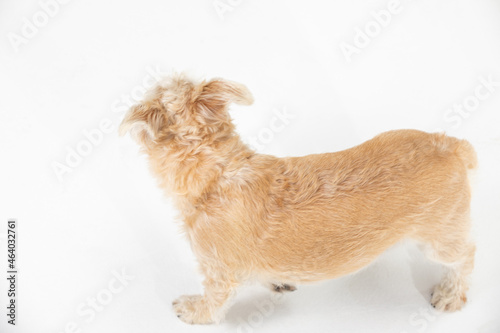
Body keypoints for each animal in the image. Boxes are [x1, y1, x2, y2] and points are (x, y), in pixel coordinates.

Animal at [119, 74, 478, 322]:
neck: (218, 172)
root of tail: (452, 145)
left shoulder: (218, 270)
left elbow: (214, 302)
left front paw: (192, 310)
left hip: (440, 239)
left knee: (467, 254)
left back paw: (450, 295)